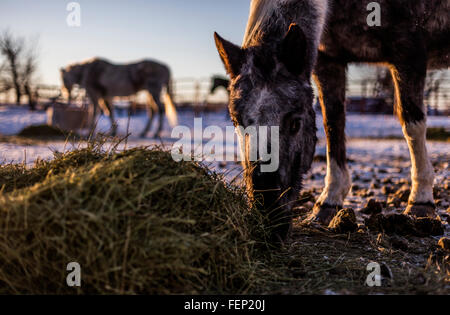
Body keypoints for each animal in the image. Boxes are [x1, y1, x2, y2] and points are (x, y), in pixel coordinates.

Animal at [215, 0, 450, 242]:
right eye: (236, 122)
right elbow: (333, 124)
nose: (268, 220)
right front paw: (329, 201)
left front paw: (420, 202)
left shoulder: (409, 50)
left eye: (295, 123)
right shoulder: (328, 60)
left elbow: (412, 123)